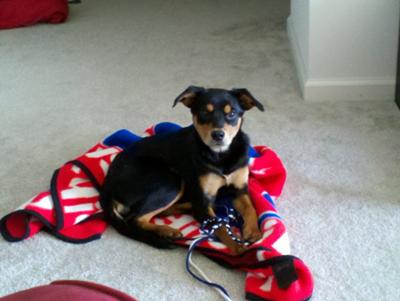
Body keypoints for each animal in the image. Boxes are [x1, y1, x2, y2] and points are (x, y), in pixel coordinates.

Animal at [99, 85, 264, 254]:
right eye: (204, 112)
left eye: (231, 114)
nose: (218, 135)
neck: (220, 156)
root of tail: (107, 183)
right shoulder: (203, 199)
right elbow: (221, 226)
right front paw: (239, 249)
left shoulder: (240, 189)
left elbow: (251, 208)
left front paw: (253, 231)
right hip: (171, 181)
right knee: (135, 218)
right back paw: (167, 230)